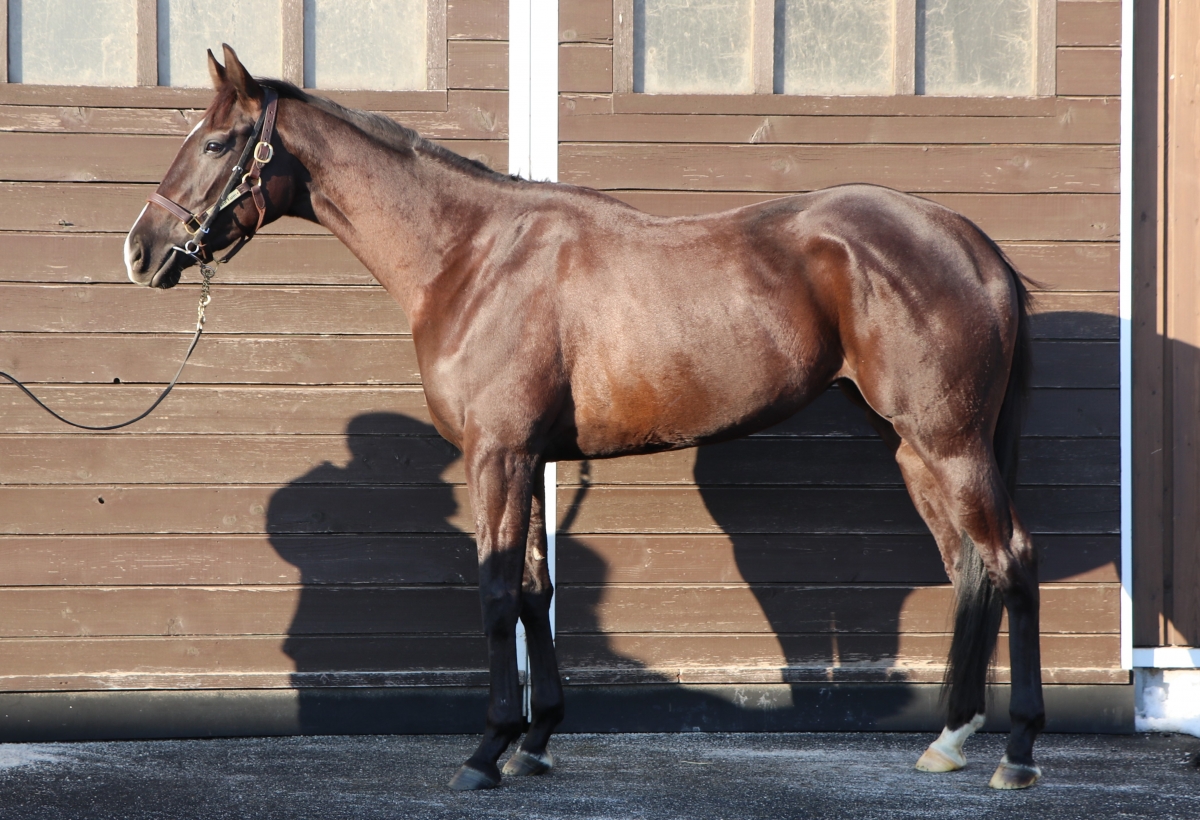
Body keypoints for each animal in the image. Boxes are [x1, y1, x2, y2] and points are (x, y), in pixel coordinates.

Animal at [125, 46, 1043, 791]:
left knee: (1012, 561)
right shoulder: (528, 457)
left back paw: (1019, 753)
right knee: (969, 569)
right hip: (915, 449)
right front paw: (535, 742)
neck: (472, 255)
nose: (141, 251)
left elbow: (497, 588)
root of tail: (973, 242)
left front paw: (487, 750)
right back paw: (950, 738)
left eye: (217, 143)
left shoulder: (496, 453)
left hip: (948, 444)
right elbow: (536, 586)